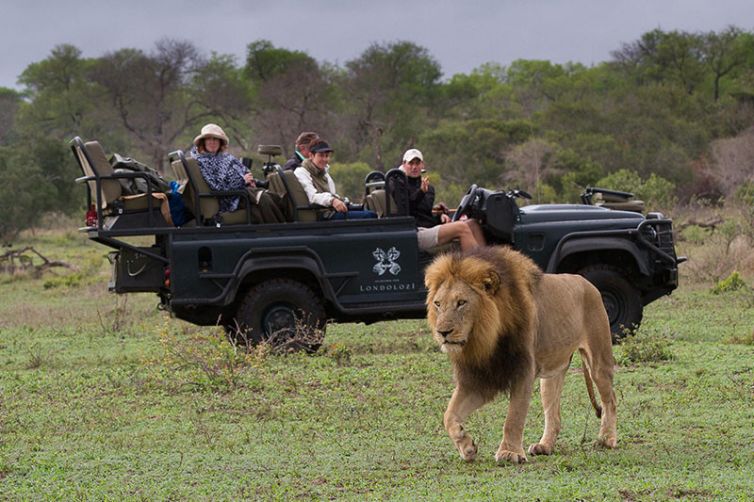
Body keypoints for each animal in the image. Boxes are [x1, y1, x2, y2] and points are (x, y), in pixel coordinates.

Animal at [424, 246, 617, 464]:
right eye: (438, 304)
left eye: (461, 302)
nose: (442, 332)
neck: (486, 339)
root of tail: (587, 282)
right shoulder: (479, 379)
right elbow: (449, 415)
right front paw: (467, 446)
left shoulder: (523, 370)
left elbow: (513, 417)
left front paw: (509, 453)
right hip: (551, 376)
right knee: (554, 414)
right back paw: (544, 446)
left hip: (598, 360)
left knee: (610, 399)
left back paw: (606, 439)